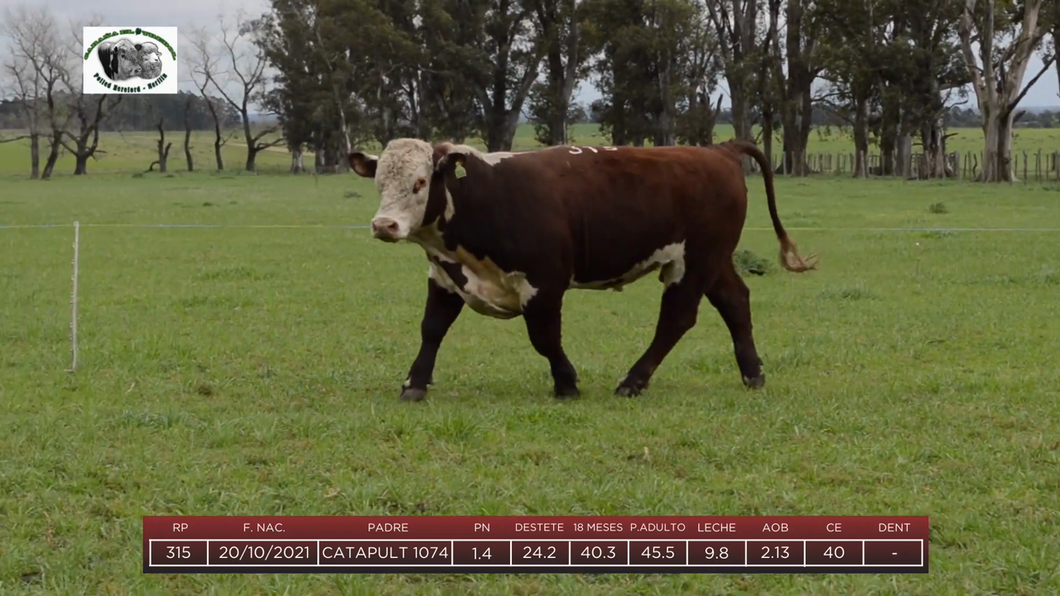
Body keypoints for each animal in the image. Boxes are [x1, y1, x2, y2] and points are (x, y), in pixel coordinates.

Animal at [351, 138, 814, 398]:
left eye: (420, 182)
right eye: (379, 183)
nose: (384, 225)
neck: (482, 196)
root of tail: (719, 150)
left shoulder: (544, 282)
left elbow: (544, 338)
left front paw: (567, 383)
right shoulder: (446, 276)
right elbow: (432, 329)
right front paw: (414, 383)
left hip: (696, 261)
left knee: (677, 318)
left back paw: (633, 381)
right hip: (713, 260)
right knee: (735, 303)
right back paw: (753, 374)